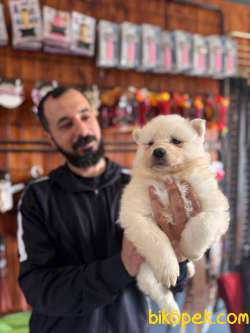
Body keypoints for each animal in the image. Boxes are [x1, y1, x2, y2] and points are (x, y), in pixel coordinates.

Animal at [119, 114, 230, 314]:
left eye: (176, 141)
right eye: (150, 143)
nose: (158, 151)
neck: (168, 177)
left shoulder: (213, 204)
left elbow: (203, 224)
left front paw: (189, 249)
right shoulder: (137, 213)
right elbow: (157, 239)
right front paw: (170, 268)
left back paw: (190, 268)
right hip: (146, 271)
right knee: (158, 291)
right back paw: (173, 312)